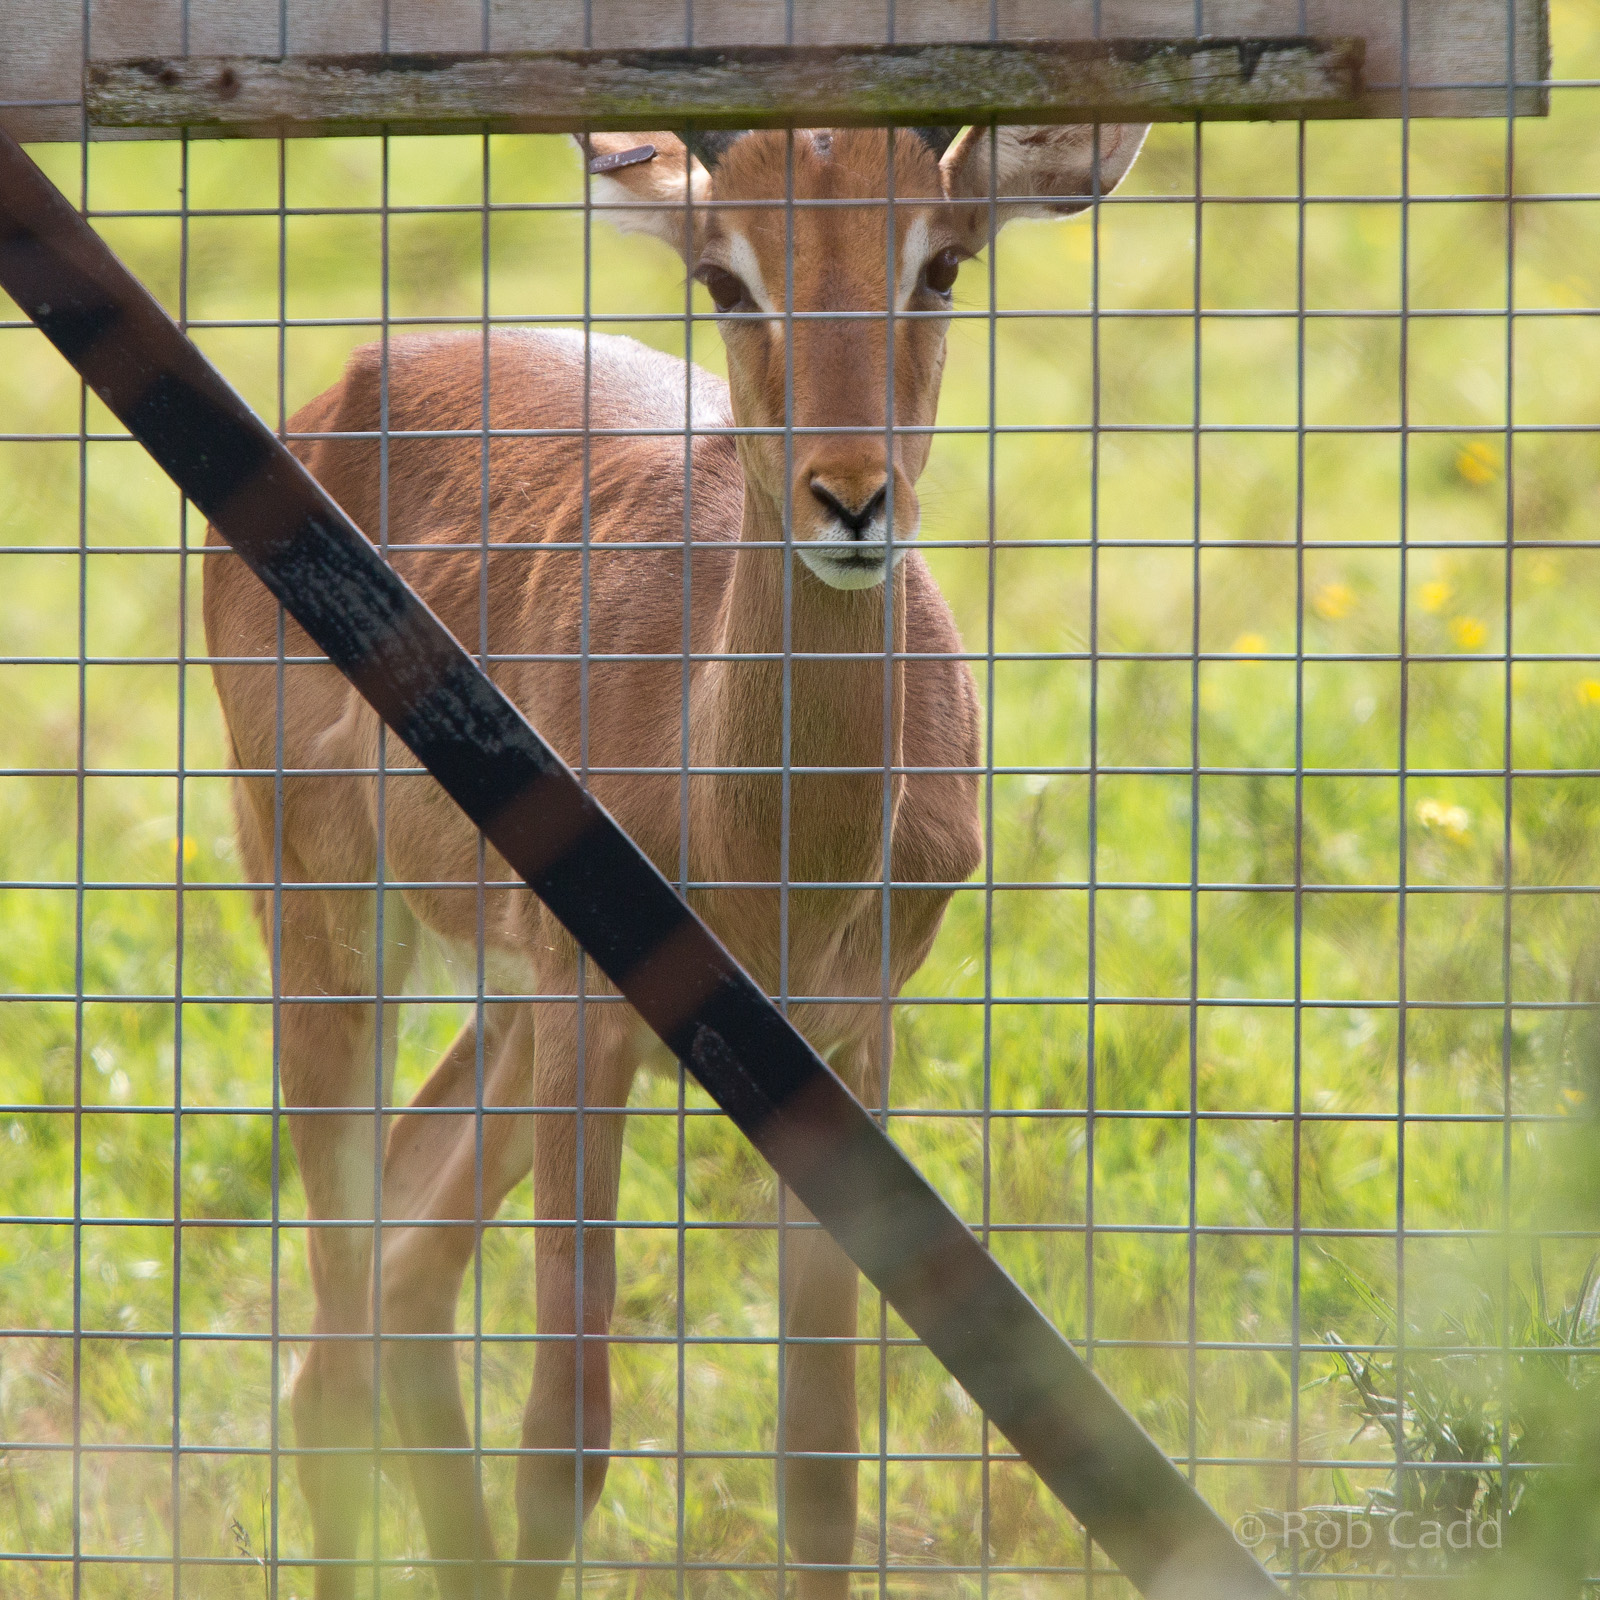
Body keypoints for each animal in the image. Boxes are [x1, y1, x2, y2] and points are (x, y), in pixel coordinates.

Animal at [203, 120, 1145, 1600]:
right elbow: (565, 1432)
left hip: (511, 1003)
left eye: (942, 261)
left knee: (399, 1275)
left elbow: (820, 1455)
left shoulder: (843, 1037)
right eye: (724, 277)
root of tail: (338, 395)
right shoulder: (597, 1011)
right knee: (342, 1345)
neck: (768, 847)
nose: (851, 498)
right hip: (329, 913)